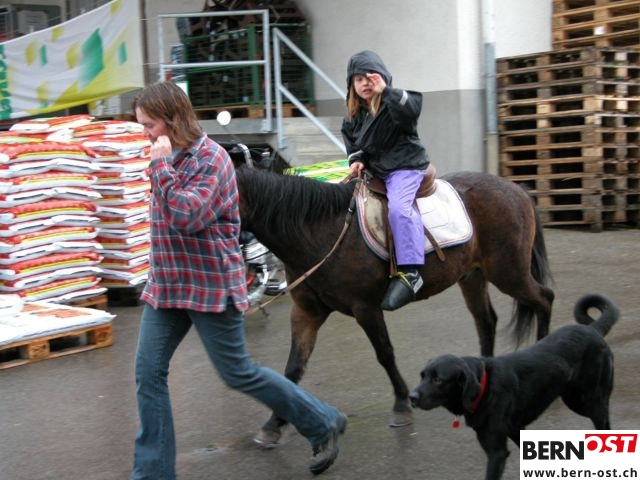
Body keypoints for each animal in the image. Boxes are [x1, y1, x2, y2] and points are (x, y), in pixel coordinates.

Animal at [235, 167, 554, 444]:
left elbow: (385, 354)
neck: (323, 233)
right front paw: (273, 424)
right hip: (473, 276)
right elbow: (293, 369)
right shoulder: (306, 313)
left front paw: (401, 405)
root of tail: (517, 189)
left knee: (544, 299)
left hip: (509, 274)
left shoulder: (366, 308)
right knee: (486, 321)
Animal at [409, 293, 619, 480]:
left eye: (438, 380)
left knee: (606, 427)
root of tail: (593, 330)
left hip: (588, 401)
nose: (411, 397)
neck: (484, 388)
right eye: (422, 376)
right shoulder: (516, 429)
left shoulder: (497, 452)